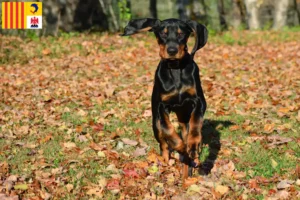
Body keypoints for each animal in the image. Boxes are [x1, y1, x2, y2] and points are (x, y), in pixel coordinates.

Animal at [120, 18, 207, 180]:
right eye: (163, 33)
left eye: (181, 34)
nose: (172, 51)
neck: (175, 68)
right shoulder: (161, 106)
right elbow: (168, 130)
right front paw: (180, 146)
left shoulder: (199, 101)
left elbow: (196, 122)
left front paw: (192, 145)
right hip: (155, 122)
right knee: (163, 143)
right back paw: (167, 160)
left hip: (183, 117)